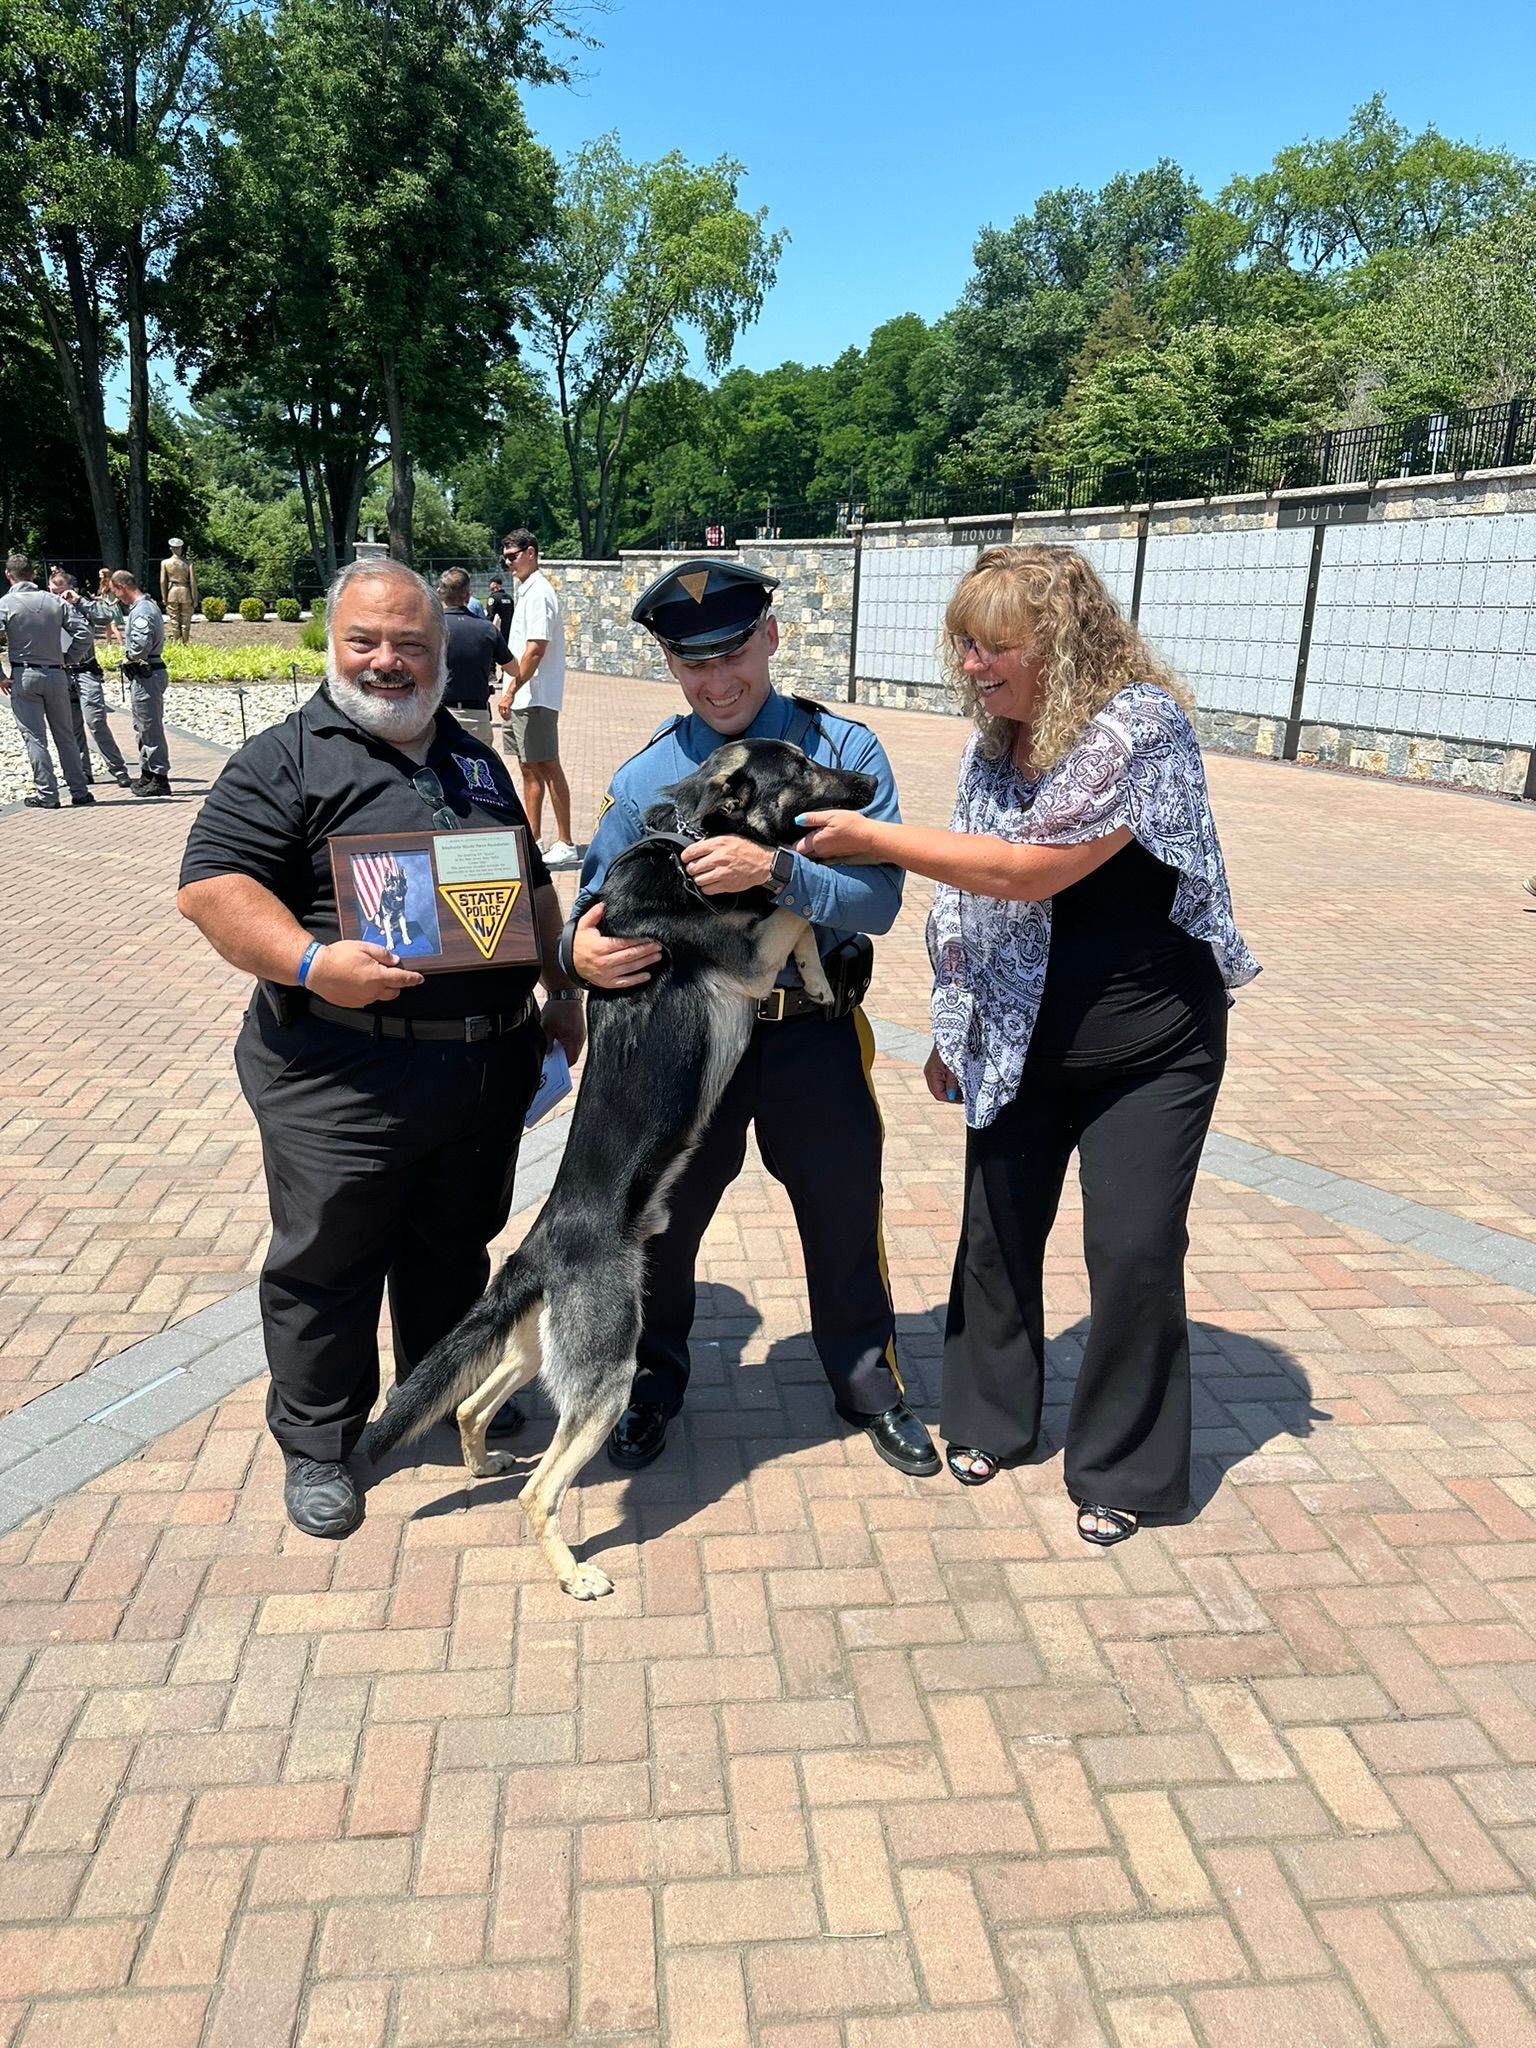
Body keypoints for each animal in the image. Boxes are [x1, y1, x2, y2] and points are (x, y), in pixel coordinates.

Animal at [360, 736, 879, 1598]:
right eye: (803, 768)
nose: (871, 778)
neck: (687, 841)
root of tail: (537, 1254)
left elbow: (795, 909)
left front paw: (815, 972)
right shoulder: (746, 956)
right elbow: (796, 910)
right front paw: (813, 971)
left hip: (545, 1351)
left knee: (468, 1407)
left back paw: (485, 1462)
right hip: (606, 1371)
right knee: (539, 1492)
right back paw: (574, 1575)